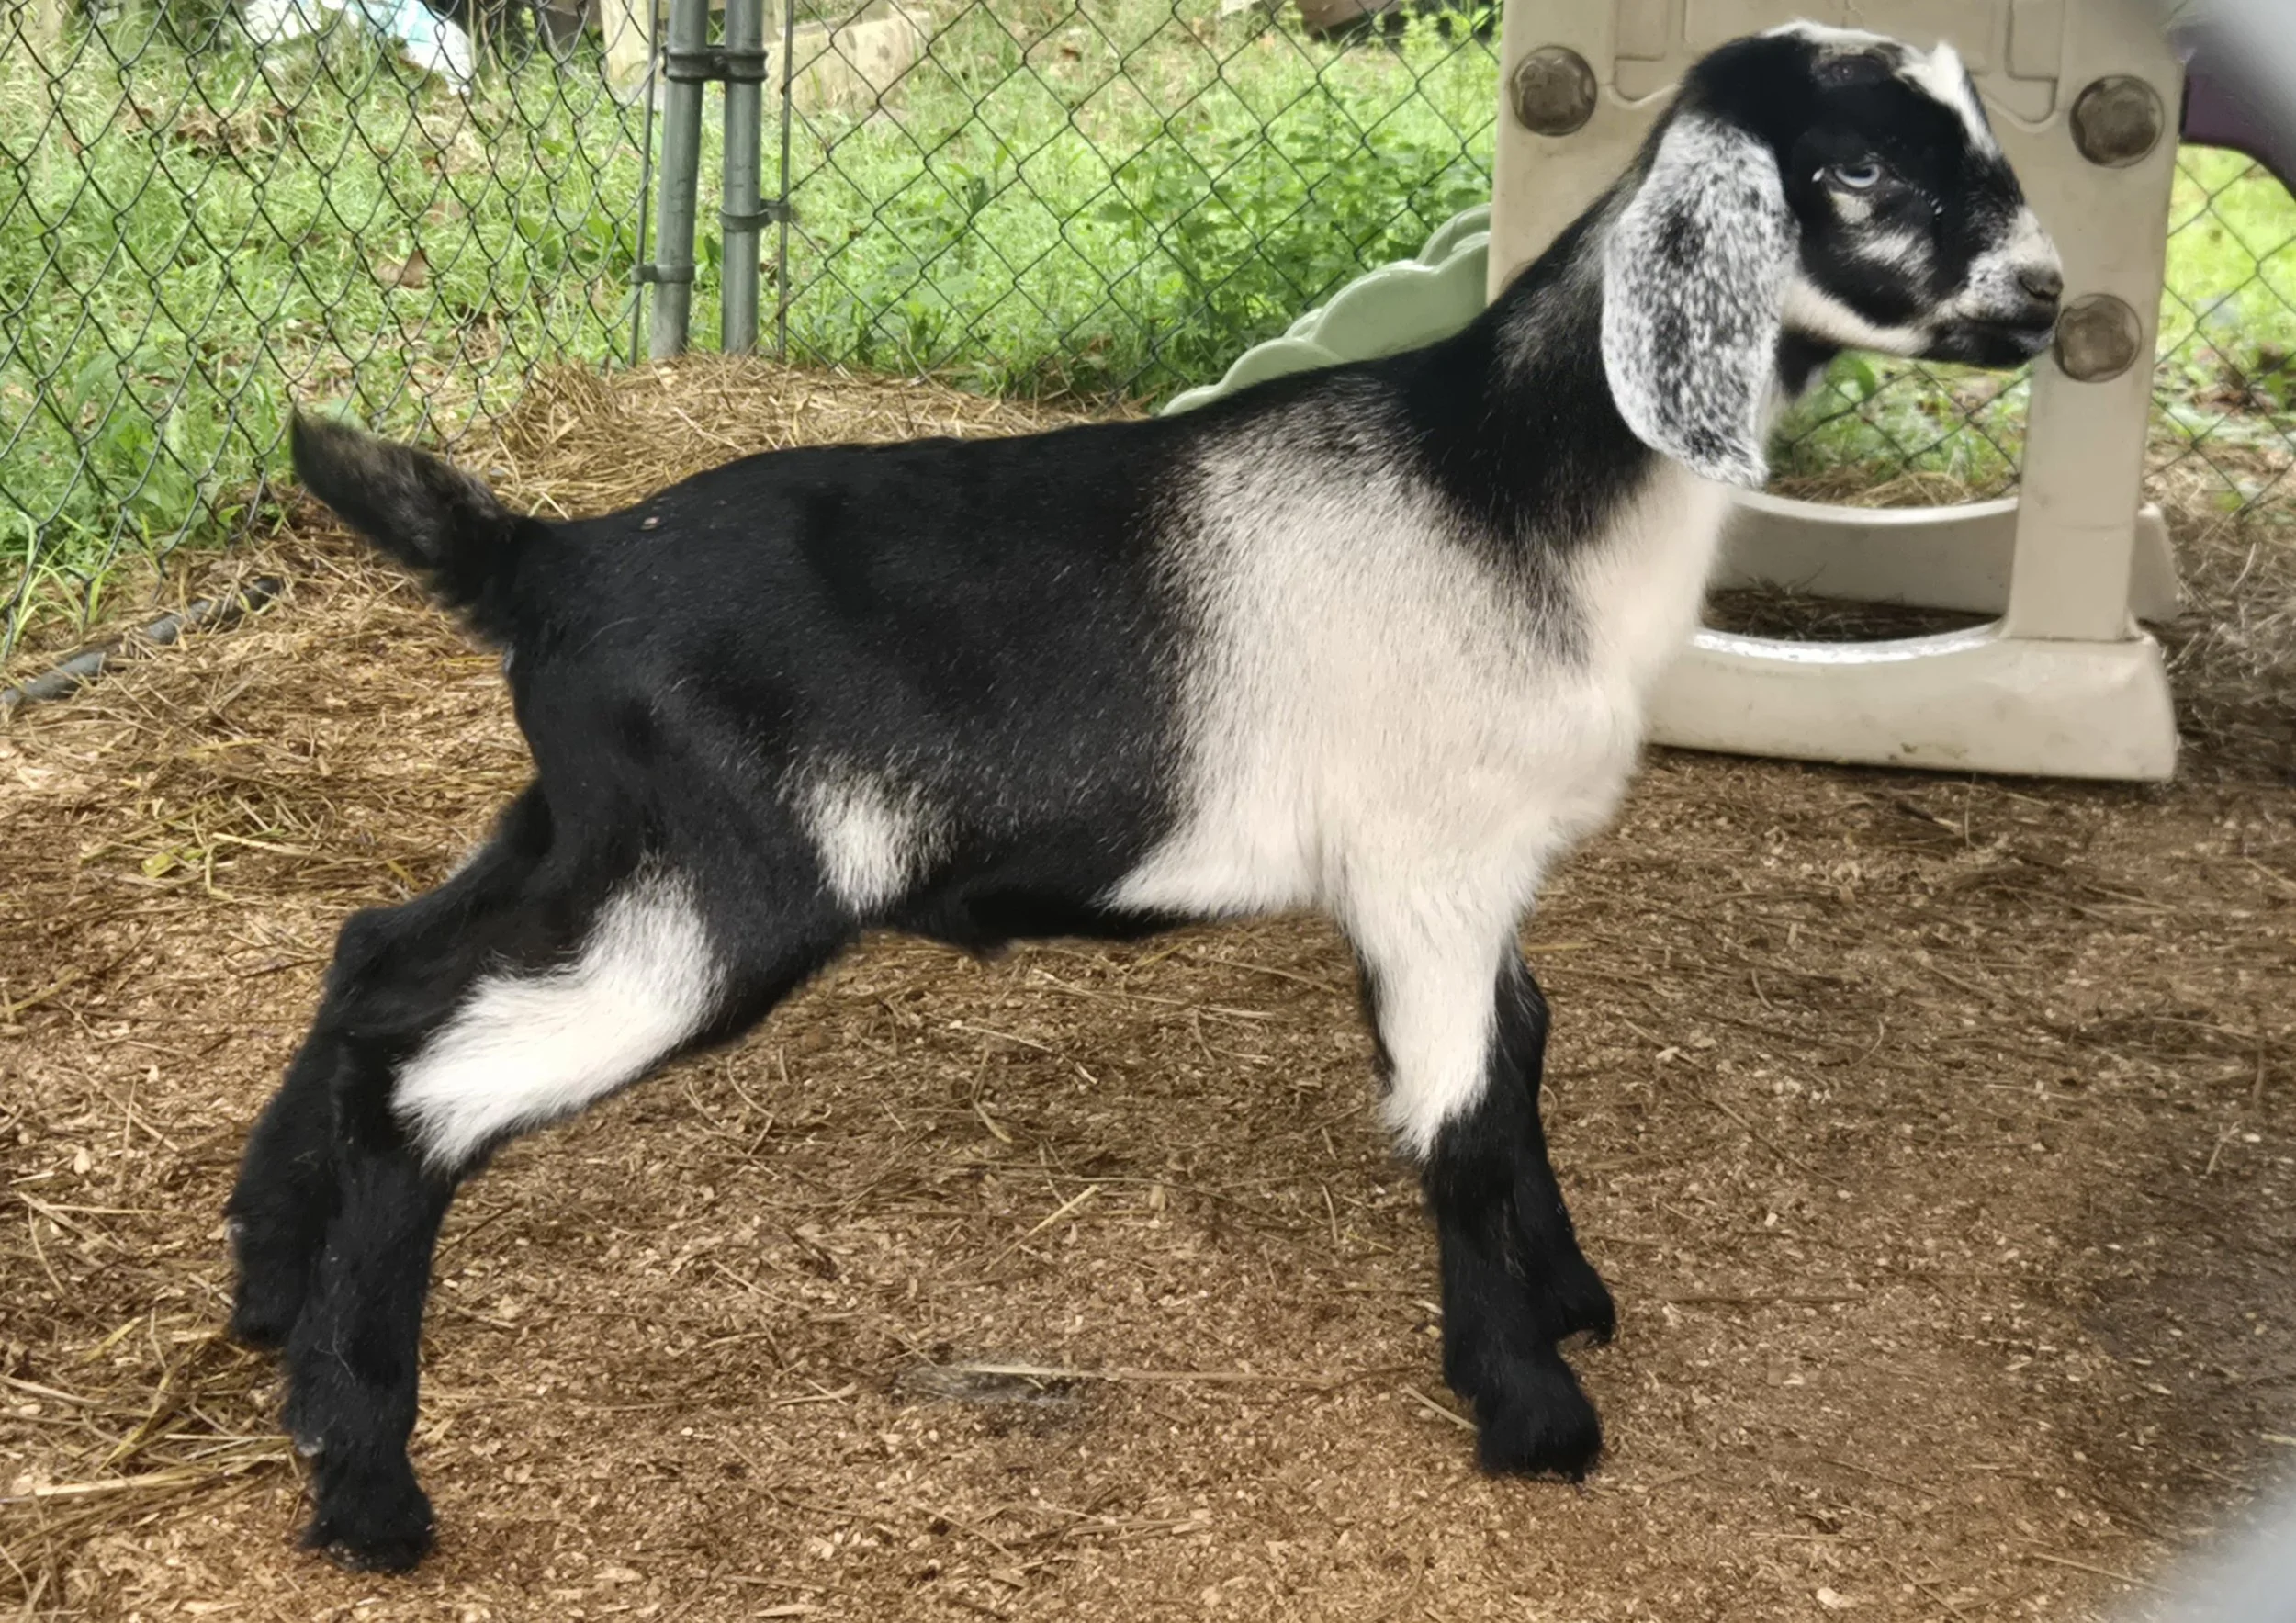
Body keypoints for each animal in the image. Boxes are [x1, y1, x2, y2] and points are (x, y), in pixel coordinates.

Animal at [226, 21, 2066, 1571]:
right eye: (1862, 171)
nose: (2048, 296)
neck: (1504, 480)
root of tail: (550, 557)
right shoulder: (1434, 865)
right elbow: (1463, 1113)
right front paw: (1532, 1407)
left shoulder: (1465, 875)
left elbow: (1525, 1051)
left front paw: (1568, 1293)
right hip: (716, 889)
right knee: (431, 1079)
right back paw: (367, 1479)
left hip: (587, 827)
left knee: (378, 954)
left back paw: (261, 1281)